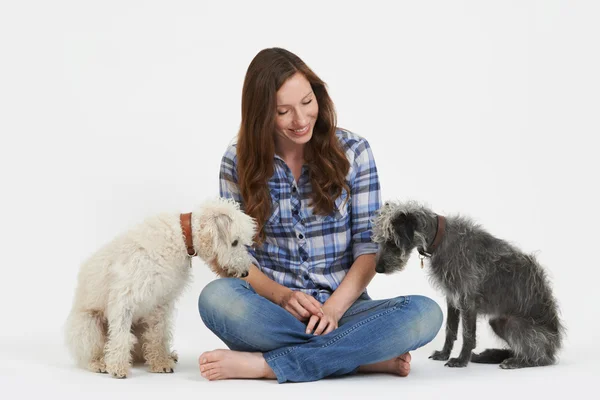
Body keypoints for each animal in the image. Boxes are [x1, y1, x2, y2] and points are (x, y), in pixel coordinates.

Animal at [65, 197, 255, 378]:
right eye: (235, 242)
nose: (246, 272)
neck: (181, 237)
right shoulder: (125, 298)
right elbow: (121, 335)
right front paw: (118, 368)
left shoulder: (161, 302)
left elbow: (158, 334)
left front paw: (160, 362)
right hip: (88, 326)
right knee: (91, 352)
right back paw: (100, 363)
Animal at [372, 200, 564, 368]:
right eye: (381, 240)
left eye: (392, 241)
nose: (378, 269)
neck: (439, 238)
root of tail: (554, 345)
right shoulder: (452, 298)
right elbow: (450, 329)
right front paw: (444, 354)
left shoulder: (467, 300)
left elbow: (468, 335)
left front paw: (461, 360)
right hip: (497, 322)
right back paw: (490, 356)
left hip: (515, 325)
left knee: (540, 357)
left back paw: (516, 362)